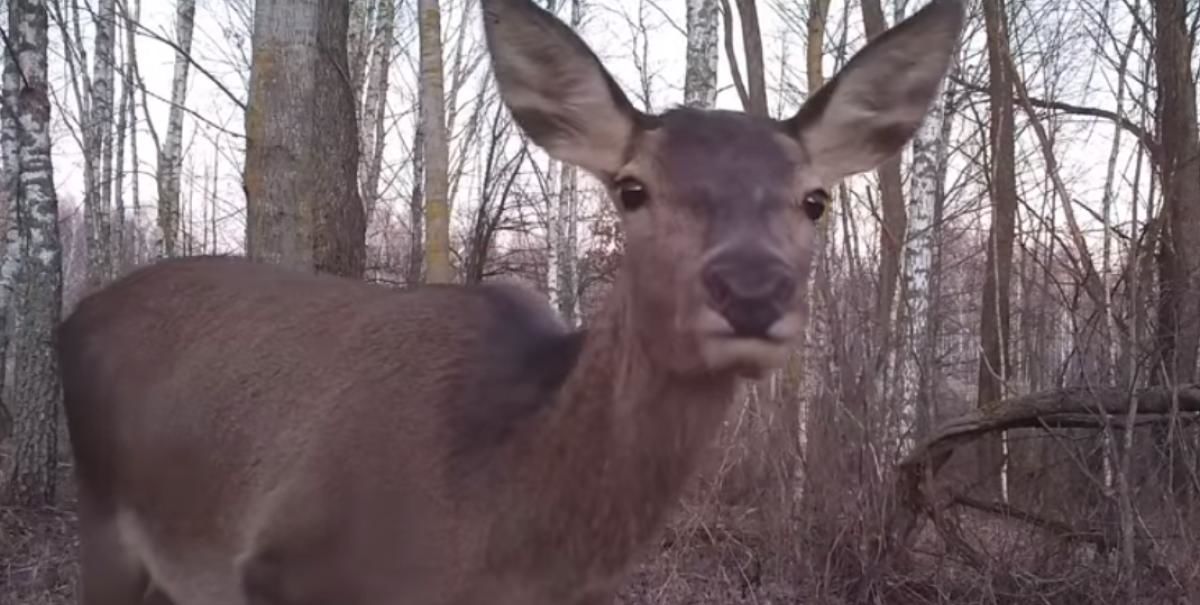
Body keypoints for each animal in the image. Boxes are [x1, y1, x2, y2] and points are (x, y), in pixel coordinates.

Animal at [56, 1, 960, 605]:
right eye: (632, 188)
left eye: (815, 199)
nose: (750, 287)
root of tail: (73, 316)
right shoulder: (284, 568)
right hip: (102, 516)